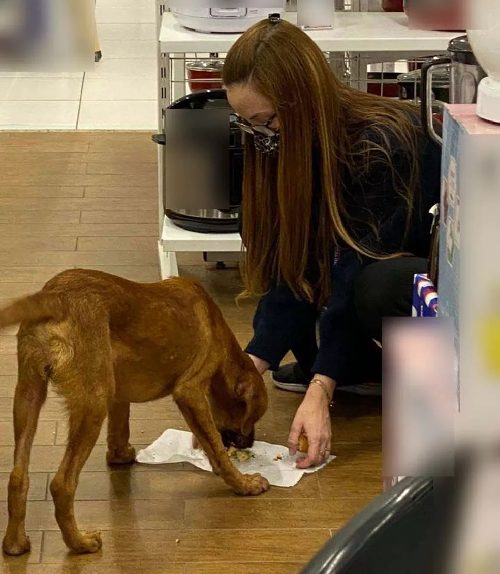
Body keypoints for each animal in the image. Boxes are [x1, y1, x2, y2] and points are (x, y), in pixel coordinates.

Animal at [0, 270, 270, 560]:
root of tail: (55, 296)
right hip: (93, 404)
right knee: (62, 484)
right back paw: (80, 543)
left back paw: (14, 543)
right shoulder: (190, 392)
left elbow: (120, 429)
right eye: (252, 418)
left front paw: (120, 456)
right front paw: (243, 483)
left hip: (28, 394)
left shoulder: (118, 395)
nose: (249, 443)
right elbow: (217, 449)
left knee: (17, 476)